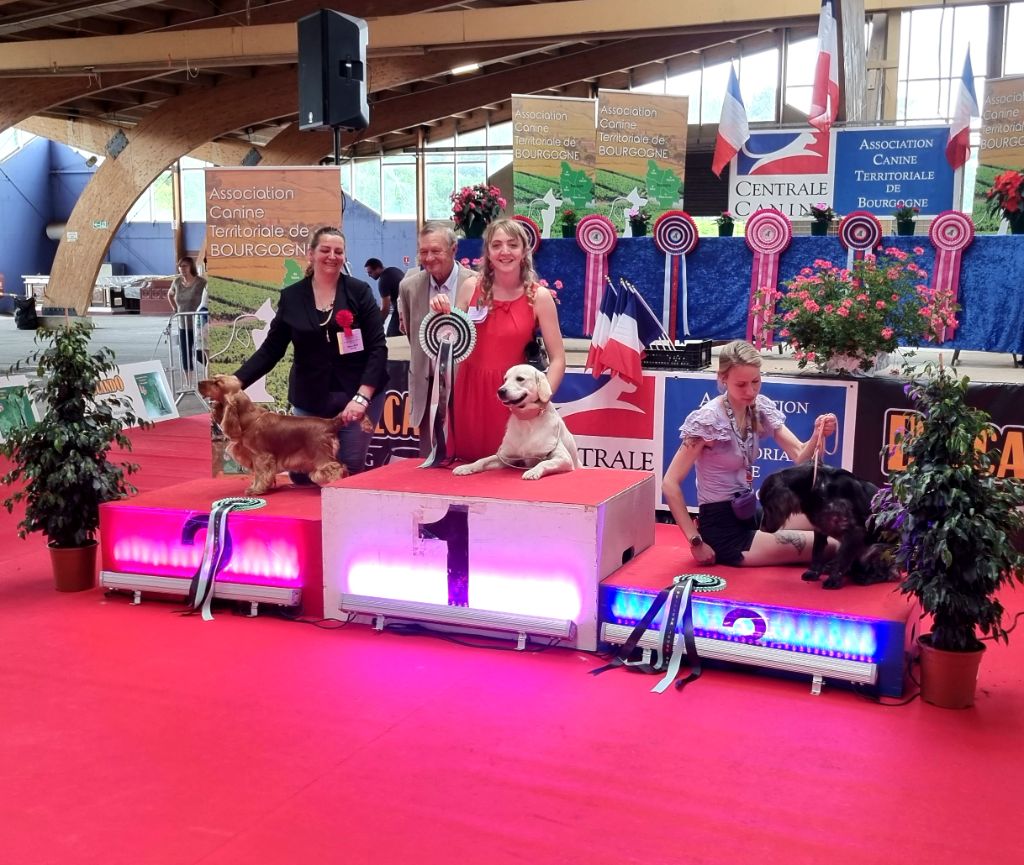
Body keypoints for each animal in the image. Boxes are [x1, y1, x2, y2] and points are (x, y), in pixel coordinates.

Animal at [198, 375, 348, 495]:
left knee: (334, 469)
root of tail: (329, 422)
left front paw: (256, 490)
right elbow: (257, 474)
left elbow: (260, 474)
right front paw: (255, 487)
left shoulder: (262, 456)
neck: (249, 420)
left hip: (321, 456)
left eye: (217, 383)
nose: (199, 382)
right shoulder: (255, 457)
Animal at [758, 462, 895, 589]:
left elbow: (842, 560)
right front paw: (813, 572)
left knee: (891, 574)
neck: (817, 488)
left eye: (767, 506)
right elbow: (817, 553)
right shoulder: (820, 530)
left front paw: (833, 580)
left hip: (875, 550)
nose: (761, 528)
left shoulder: (855, 531)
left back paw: (866, 578)